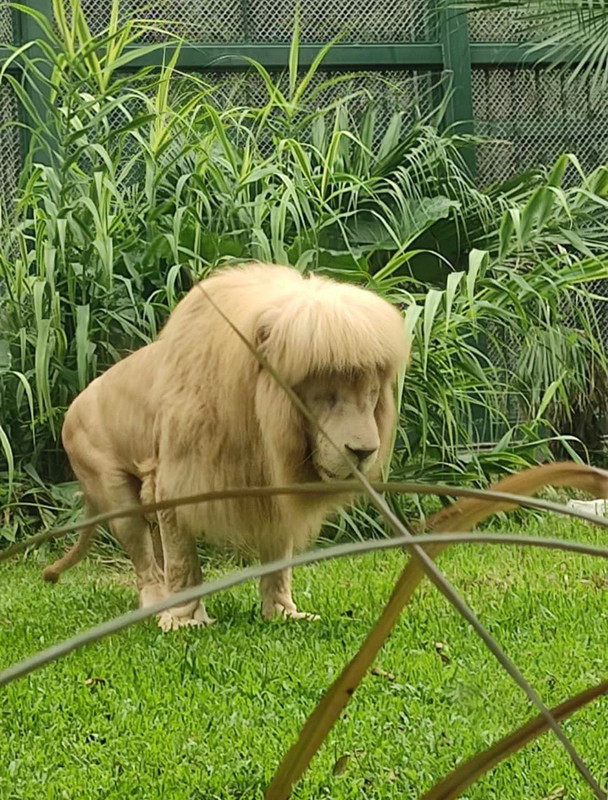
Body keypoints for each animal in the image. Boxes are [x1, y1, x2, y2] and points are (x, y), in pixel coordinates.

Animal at [44, 263, 410, 629]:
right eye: (326, 396)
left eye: (371, 394)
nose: (364, 451)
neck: (261, 427)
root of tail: (70, 410)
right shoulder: (177, 481)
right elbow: (183, 561)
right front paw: (185, 621)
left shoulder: (273, 488)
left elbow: (278, 560)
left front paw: (283, 613)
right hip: (114, 490)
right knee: (146, 561)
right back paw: (158, 606)